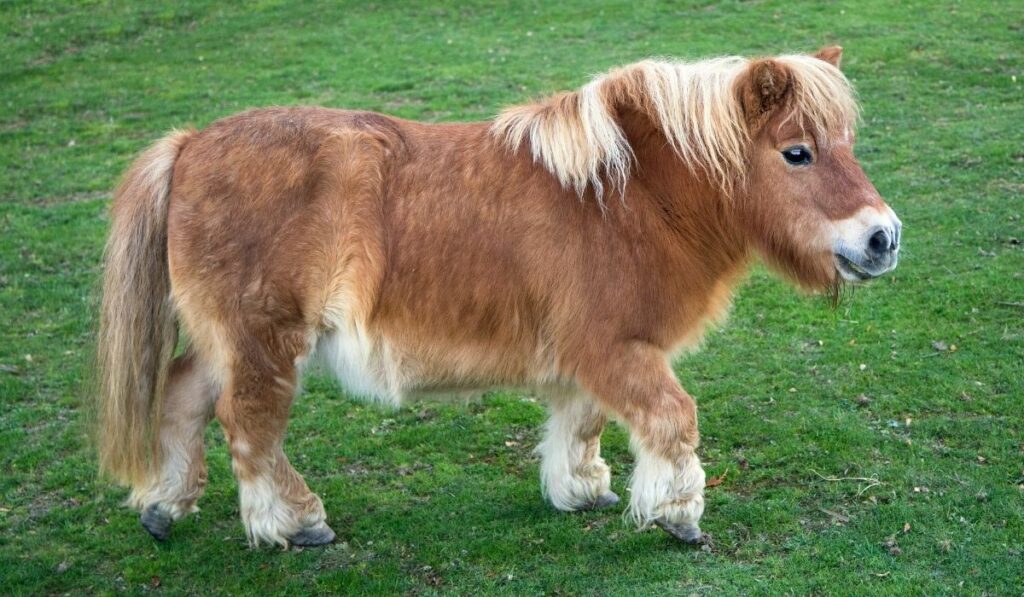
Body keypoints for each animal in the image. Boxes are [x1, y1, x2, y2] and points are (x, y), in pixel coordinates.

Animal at [94, 46, 901, 548]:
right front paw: (677, 515)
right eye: (796, 152)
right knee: (249, 425)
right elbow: (674, 419)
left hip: (226, 341)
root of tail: (190, 144)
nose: (883, 238)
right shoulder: (618, 348)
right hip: (264, 341)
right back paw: (294, 523)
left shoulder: (589, 357)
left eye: (847, 143)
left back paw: (165, 507)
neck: (627, 197)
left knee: (183, 398)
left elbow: (582, 422)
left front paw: (582, 490)